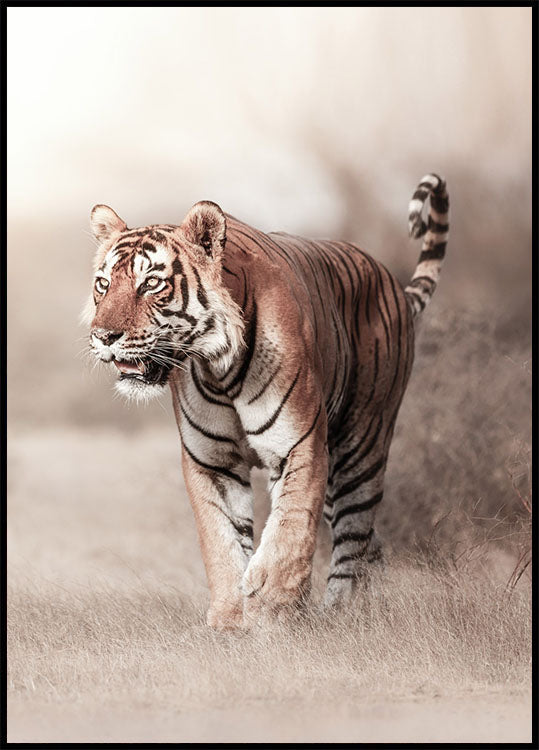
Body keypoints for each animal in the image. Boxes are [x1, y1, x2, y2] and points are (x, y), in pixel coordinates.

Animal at [84, 173, 449, 629]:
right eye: (103, 284)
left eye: (151, 283)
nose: (103, 336)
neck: (217, 367)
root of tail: (392, 284)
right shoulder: (212, 461)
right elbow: (220, 540)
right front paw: (229, 619)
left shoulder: (300, 445)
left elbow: (290, 530)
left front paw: (271, 610)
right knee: (369, 542)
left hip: (360, 447)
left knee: (353, 535)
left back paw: (340, 612)